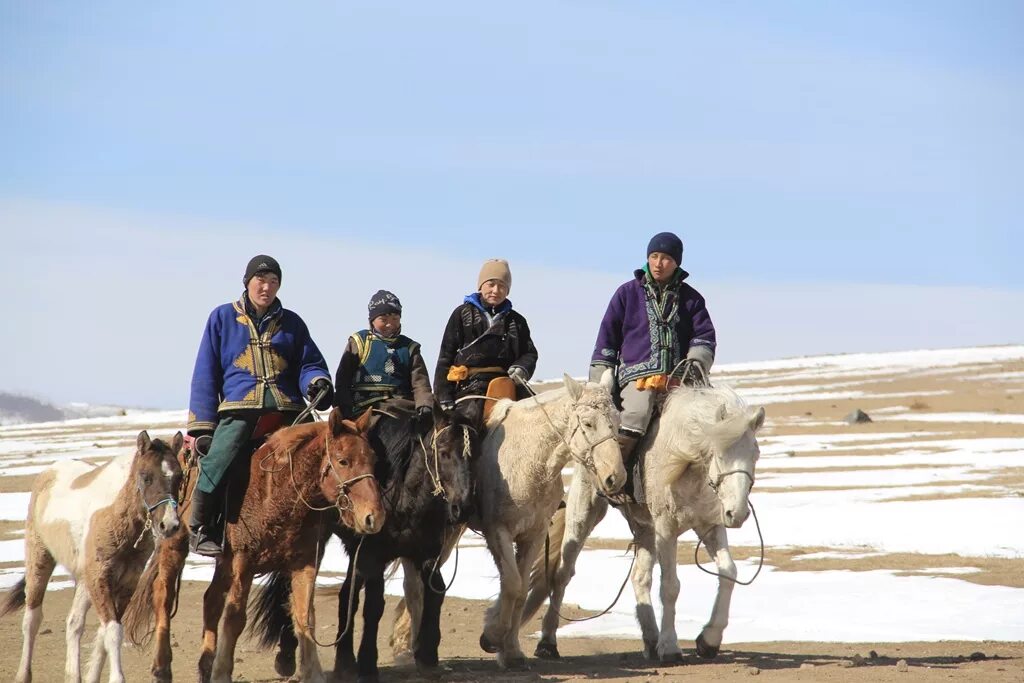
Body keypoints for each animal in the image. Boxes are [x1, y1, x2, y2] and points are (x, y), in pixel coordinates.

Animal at [1, 430, 184, 683]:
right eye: (146, 477)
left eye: (179, 478)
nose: (170, 525)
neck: (116, 515)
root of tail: (49, 472)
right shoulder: (100, 578)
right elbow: (113, 632)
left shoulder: (126, 584)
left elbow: (106, 632)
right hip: (40, 560)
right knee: (32, 619)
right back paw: (23, 675)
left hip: (83, 581)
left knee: (73, 624)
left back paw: (73, 675)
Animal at [123, 409, 385, 683]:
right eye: (343, 461)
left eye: (373, 459)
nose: (373, 517)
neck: (278, 491)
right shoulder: (244, 562)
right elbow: (235, 617)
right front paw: (222, 673)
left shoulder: (305, 563)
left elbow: (304, 617)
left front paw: (312, 673)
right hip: (173, 541)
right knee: (163, 594)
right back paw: (162, 668)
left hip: (223, 560)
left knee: (211, 600)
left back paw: (205, 666)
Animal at [524, 387, 765, 663]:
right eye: (721, 454)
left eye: (755, 454)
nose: (738, 513)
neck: (685, 459)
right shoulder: (666, 528)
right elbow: (670, 586)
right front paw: (670, 647)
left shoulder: (709, 524)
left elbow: (728, 573)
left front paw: (709, 640)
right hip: (584, 514)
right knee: (562, 574)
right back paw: (547, 642)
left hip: (644, 528)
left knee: (639, 577)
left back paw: (650, 639)